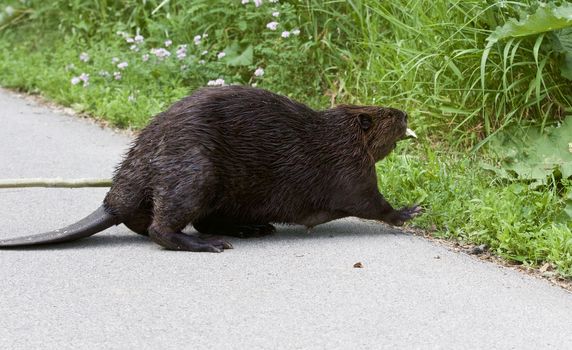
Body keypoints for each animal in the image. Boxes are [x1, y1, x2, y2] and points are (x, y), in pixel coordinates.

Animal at [0, 86, 420, 253]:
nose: (405, 113)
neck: (337, 134)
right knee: (161, 229)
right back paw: (212, 244)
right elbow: (370, 202)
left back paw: (253, 228)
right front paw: (409, 210)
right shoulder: (351, 168)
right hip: (195, 173)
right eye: (387, 114)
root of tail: (111, 203)